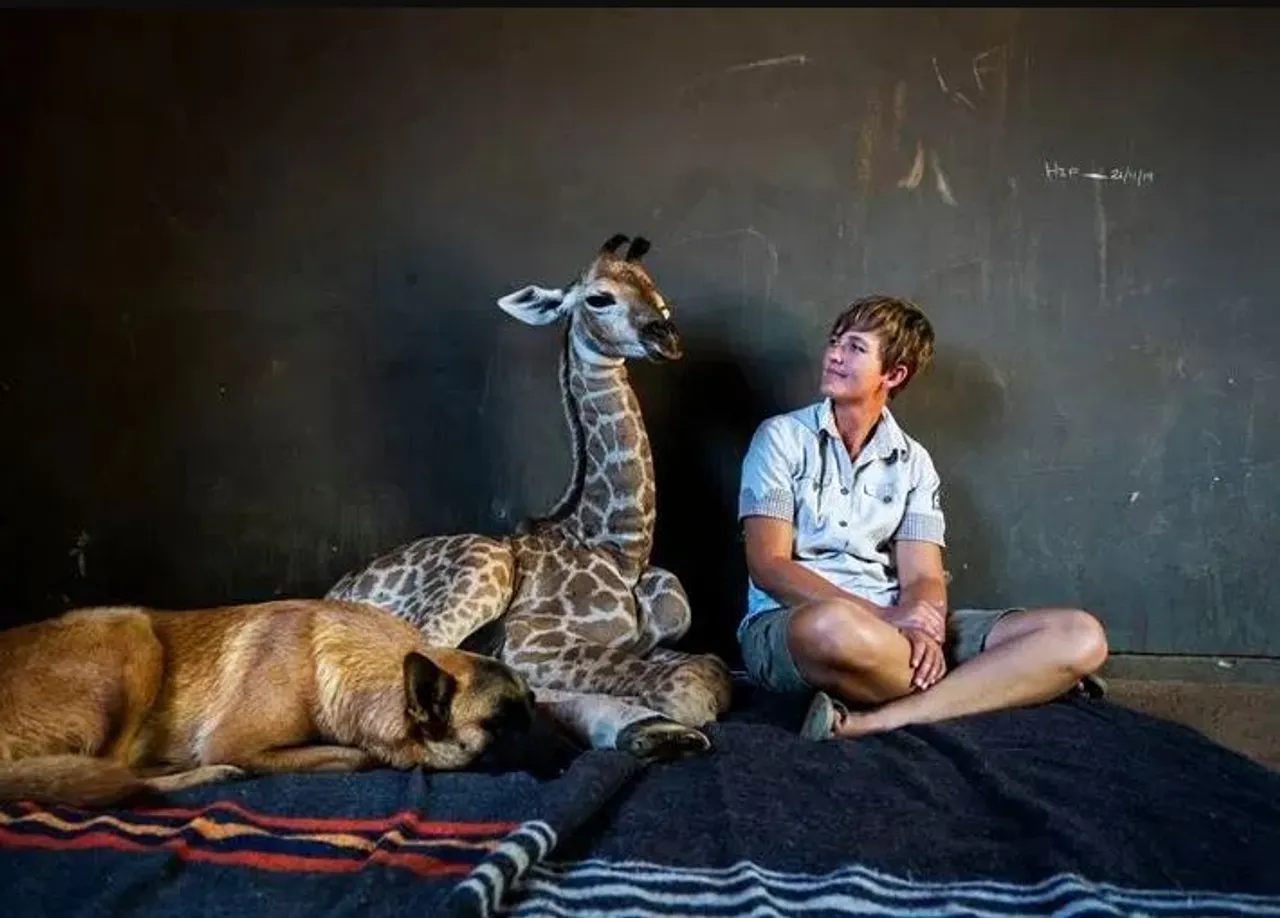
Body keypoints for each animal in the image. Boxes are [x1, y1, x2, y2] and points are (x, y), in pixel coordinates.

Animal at [0, 594, 535, 804]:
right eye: (502, 723)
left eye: (532, 703)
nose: (545, 734)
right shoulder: (237, 742)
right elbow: (358, 757)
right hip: (132, 631)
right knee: (119, 774)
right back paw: (200, 774)